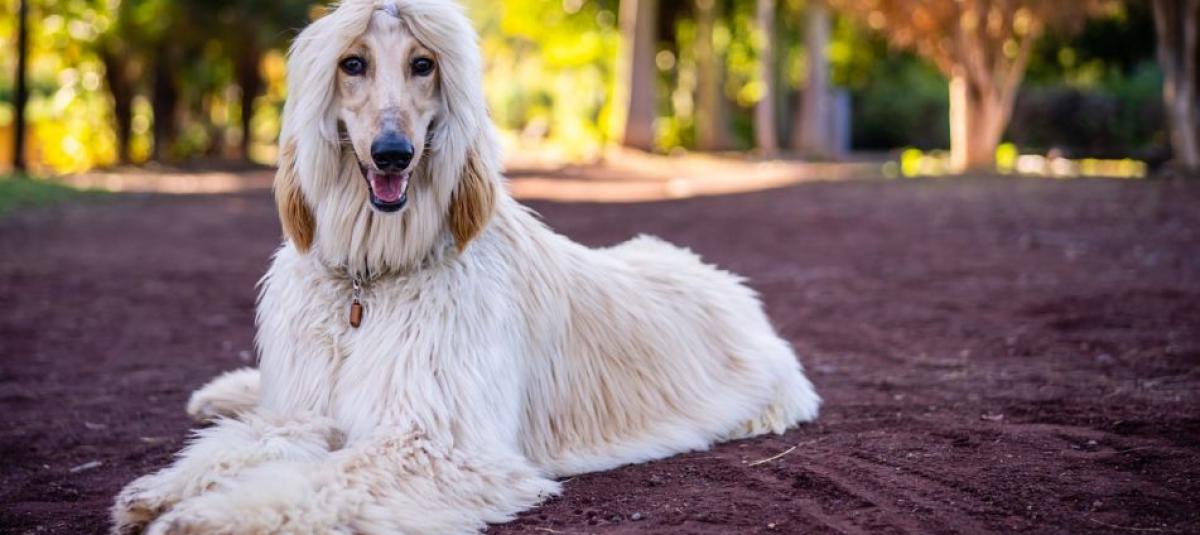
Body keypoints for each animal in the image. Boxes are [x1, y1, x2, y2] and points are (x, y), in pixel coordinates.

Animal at [112, 1, 819, 533]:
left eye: (423, 64)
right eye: (352, 64)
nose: (393, 154)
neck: (373, 277)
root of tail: (730, 285)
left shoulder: (437, 444)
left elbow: (321, 480)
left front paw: (205, 516)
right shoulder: (310, 406)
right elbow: (253, 439)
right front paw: (164, 490)